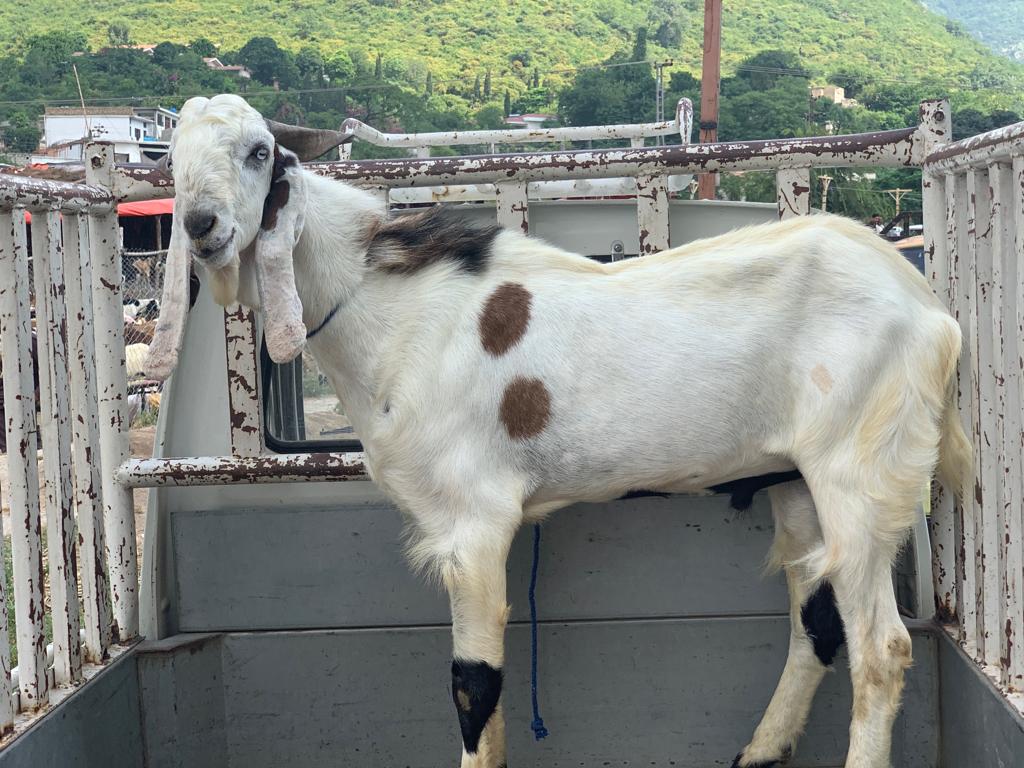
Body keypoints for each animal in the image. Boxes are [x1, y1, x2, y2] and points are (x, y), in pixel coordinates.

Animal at [148, 95, 971, 768]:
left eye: (260, 152)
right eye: (173, 159)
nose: (202, 227)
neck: (391, 308)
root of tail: (927, 306)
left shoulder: (474, 520)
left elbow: (474, 685)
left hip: (861, 471)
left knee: (881, 648)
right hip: (796, 479)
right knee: (818, 623)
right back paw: (761, 750)